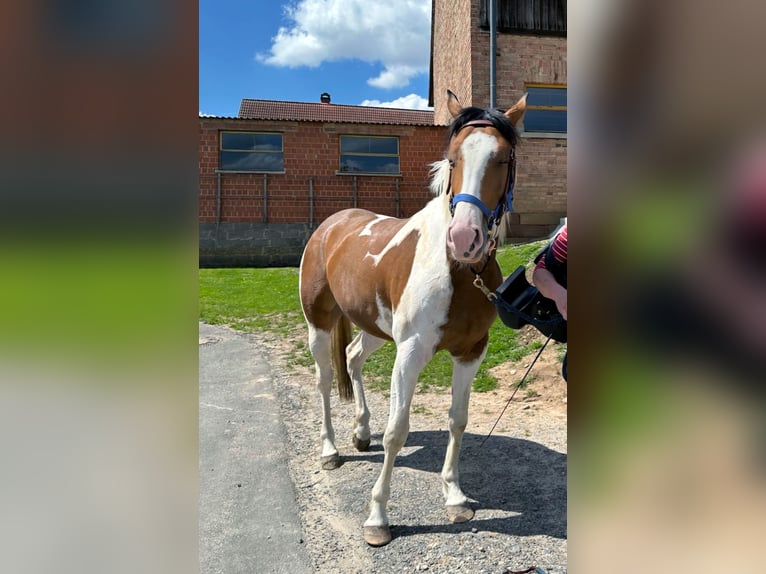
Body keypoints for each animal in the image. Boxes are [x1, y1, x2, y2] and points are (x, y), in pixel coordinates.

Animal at [300, 91, 528, 548]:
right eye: (453, 158)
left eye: (502, 158)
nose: (465, 238)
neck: (457, 270)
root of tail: (331, 225)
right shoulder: (410, 352)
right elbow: (397, 431)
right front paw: (377, 519)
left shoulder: (470, 352)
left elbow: (458, 420)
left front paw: (455, 496)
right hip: (320, 322)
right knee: (323, 380)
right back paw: (330, 450)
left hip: (374, 328)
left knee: (352, 357)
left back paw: (361, 432)